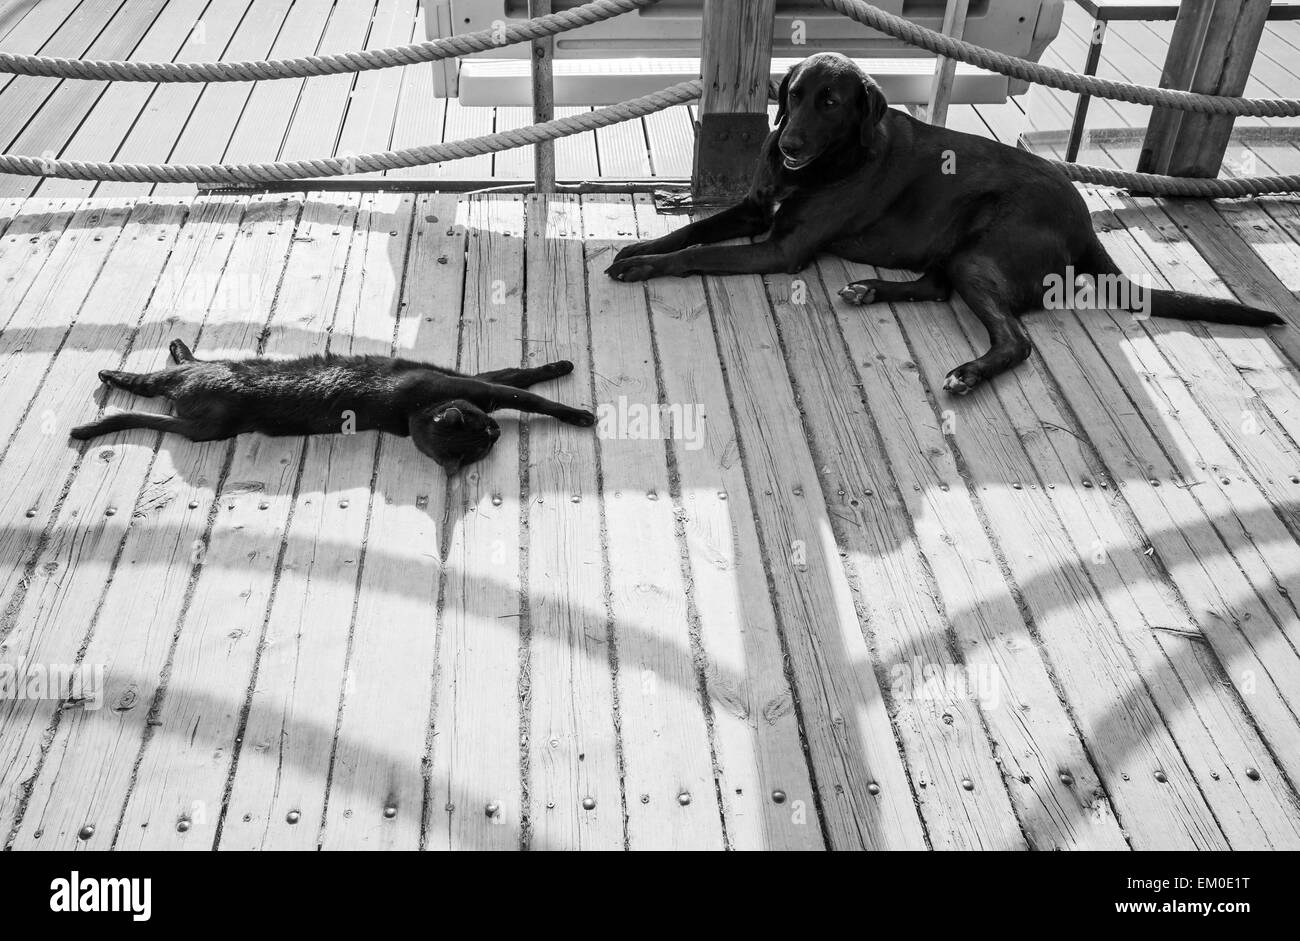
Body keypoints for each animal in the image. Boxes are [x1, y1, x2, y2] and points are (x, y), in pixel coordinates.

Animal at [68, 337, 595, 470]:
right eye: (484, 436)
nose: (498, 431)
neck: (407, 414)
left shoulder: (471, 383)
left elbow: (515, 376)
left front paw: (559, 367)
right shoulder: (469, 385)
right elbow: (524, 387)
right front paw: (579, 410)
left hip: (204, 418)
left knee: (158, 386)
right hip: (205, 381)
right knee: (156, 379)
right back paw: (120, 373)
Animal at [608, 50, 1279, 392]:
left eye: (831, 102)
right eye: (793, 95)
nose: (789, 144)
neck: (825, 164)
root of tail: (1084, 221)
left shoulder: (781, 248)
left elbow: (696, 253)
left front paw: (644, 267)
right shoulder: (753, 208)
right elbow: (690, 230)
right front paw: (637, 248)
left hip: (980, 253)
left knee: (1017, 339)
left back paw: (969, 372)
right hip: (957, 251)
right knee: (934, 287)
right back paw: (868, 288)